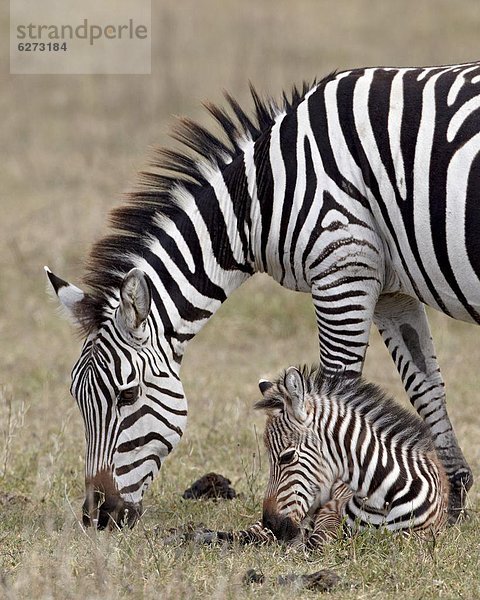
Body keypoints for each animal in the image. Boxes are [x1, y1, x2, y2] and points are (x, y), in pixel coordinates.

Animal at [46, 61, 476, 528]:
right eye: (76, 397)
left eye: (127, 394)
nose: (97, 515)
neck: (264, 195)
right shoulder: (390, 289)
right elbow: (426, 385)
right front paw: (451, 501)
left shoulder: (342, 266)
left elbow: (338, 383)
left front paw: (334, 509)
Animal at [255, 368, 450, 548]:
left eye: (287, 457)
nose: (271, 524)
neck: (382, 496)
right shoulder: (330, 509)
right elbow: (319, 539)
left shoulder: (418, 537)